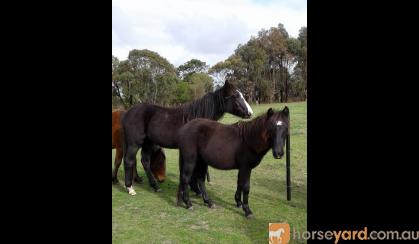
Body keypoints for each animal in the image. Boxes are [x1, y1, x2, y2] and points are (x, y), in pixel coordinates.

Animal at [121, 81, 253, 195]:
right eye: (235, 96)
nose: (250, 113)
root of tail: (128, 112)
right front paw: (196, 190)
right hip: (134, 143)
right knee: (129, 160)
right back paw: (130, 188)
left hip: (148, 143)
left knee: (145, 162)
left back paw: (155, 186)